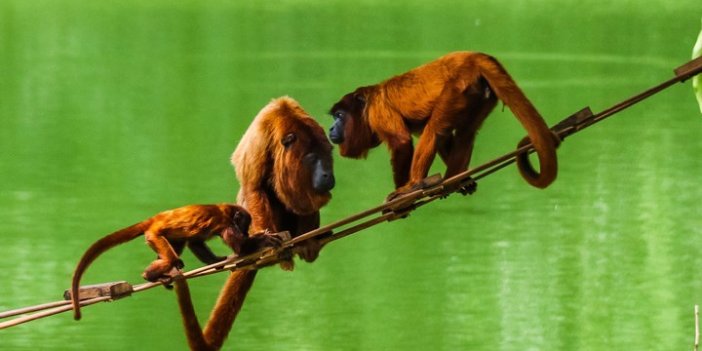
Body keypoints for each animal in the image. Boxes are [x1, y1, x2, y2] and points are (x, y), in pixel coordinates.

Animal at [70, 204, 282, 322]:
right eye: (244, 226)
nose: (245, 232)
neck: (227, 210)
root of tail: (154, 219)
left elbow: (196, 242)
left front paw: (217, 261)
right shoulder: (225, 222)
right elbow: (240, 247)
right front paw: (262, 239)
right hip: (154, 234)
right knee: (172, 257)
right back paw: (151, 276)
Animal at [172, 96, 334, 351]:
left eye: (327, 156)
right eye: (312, 158)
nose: (327, 174)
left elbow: (305, 203)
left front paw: (309, 244)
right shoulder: (260, 138)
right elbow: (254, 187)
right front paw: (268, 244)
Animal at [330, 50, 560, 198]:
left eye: (339, 115)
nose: (331, 128)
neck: (366, 103)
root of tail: (472, 57)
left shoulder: (377, 110)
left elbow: (402, 141)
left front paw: (403, 192)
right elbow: (443, 140)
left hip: (457, 88)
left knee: (435, 130)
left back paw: (414, 185)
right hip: (479, 95)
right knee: (465, 133)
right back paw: (455, 178)